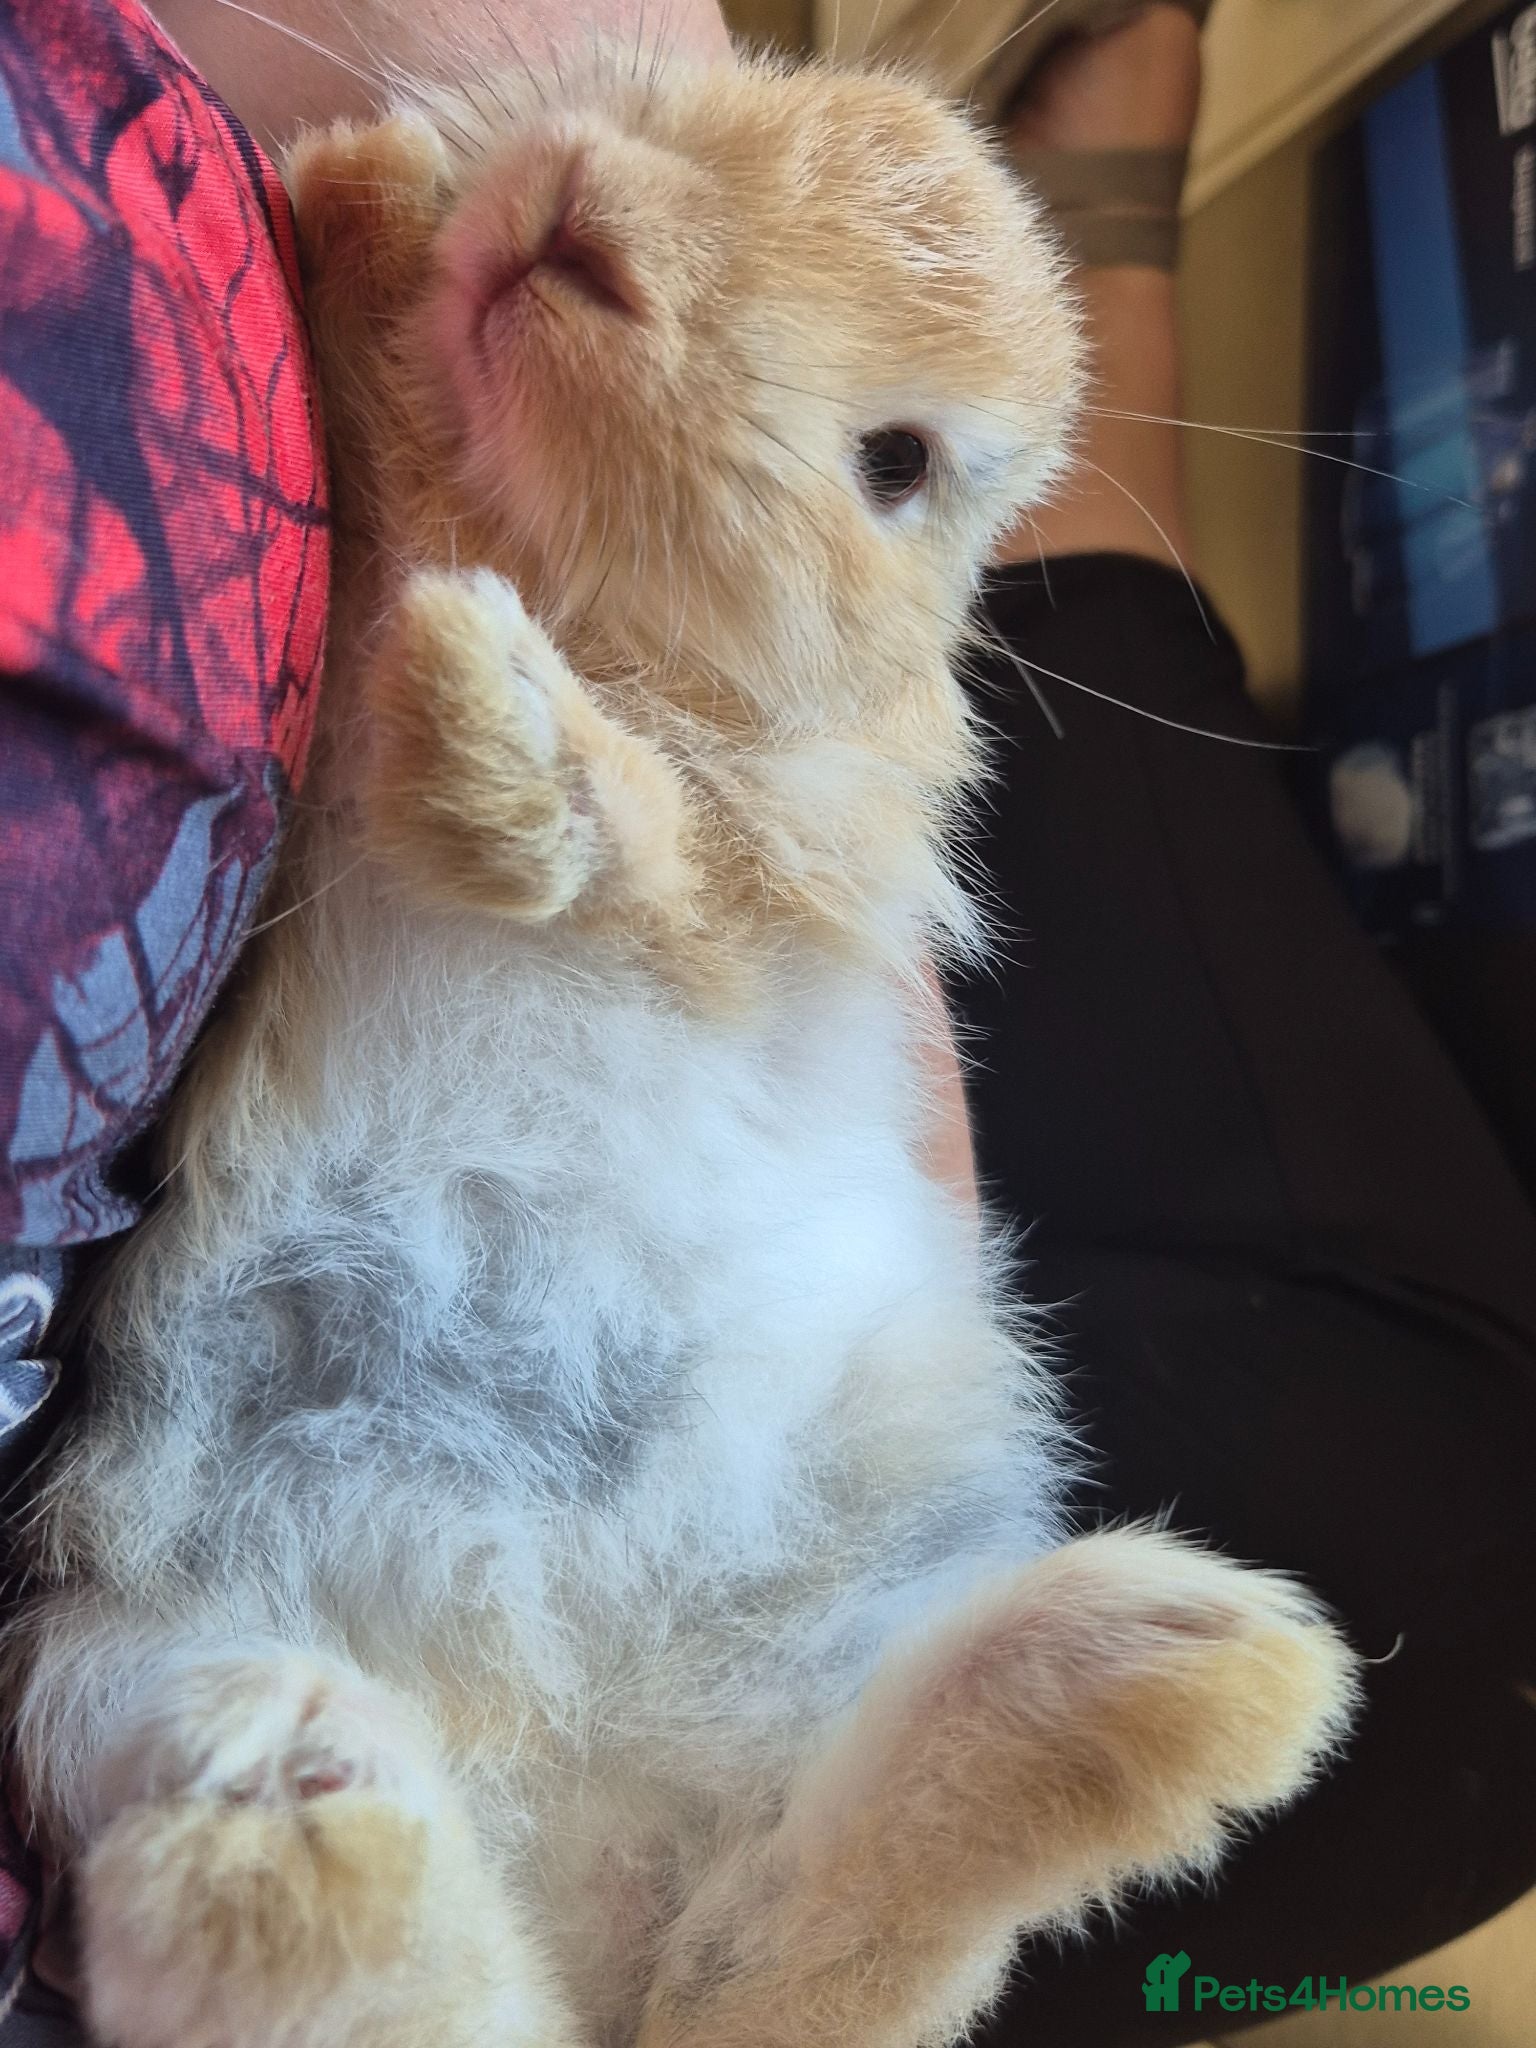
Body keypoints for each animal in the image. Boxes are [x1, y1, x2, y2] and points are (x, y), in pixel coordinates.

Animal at [4, 37, 1357, 2048]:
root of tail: (582, 1840)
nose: (584, 231)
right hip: (114, 1664)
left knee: (796, 1949)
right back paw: (309, 1821)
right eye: (755, 96)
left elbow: (646, 850)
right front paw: (367, 197)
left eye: (898, 462)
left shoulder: (774, 875)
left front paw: (474, 721)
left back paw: (1201, 1674)